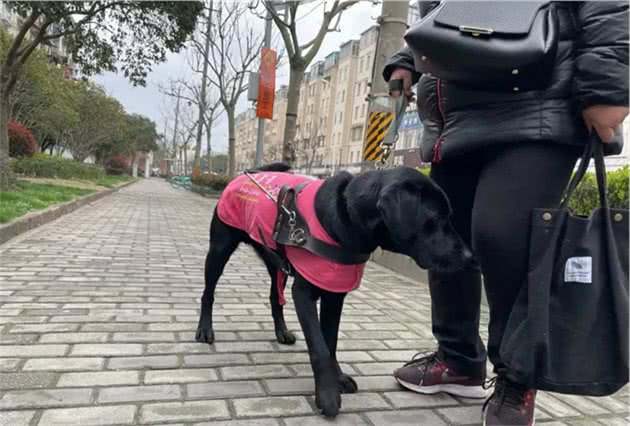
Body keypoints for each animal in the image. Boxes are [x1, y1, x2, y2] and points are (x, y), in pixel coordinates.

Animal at [195, 162, 476, 416]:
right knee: (208, 293)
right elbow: (319, 348)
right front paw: (328, 396)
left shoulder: (335, 294)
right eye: (435, 219)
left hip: (276, 261)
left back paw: (282, 332)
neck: (347, 221)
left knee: (275, 297)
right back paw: (205, 329)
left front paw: (337, 379)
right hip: (219, 249)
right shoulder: (304, 294)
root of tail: (245, 175)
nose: (469, 256)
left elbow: (330, 343)